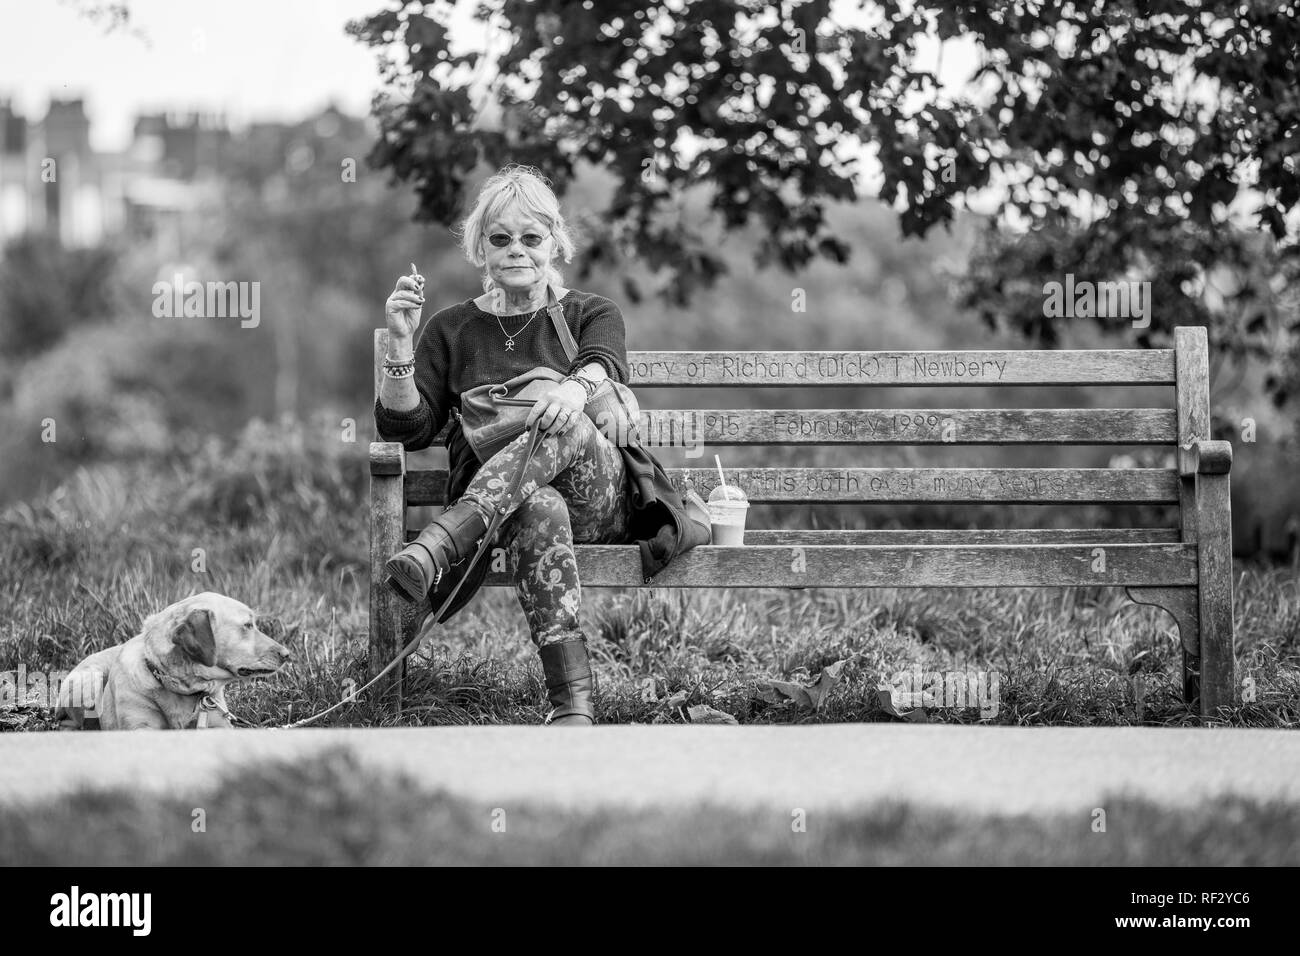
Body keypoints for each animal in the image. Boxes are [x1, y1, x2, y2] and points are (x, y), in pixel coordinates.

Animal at [54, 590, 291, 733]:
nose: (287, 654)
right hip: (89, 681)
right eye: (247, 625)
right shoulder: (140, 728)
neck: (185, 689)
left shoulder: (219, 726)